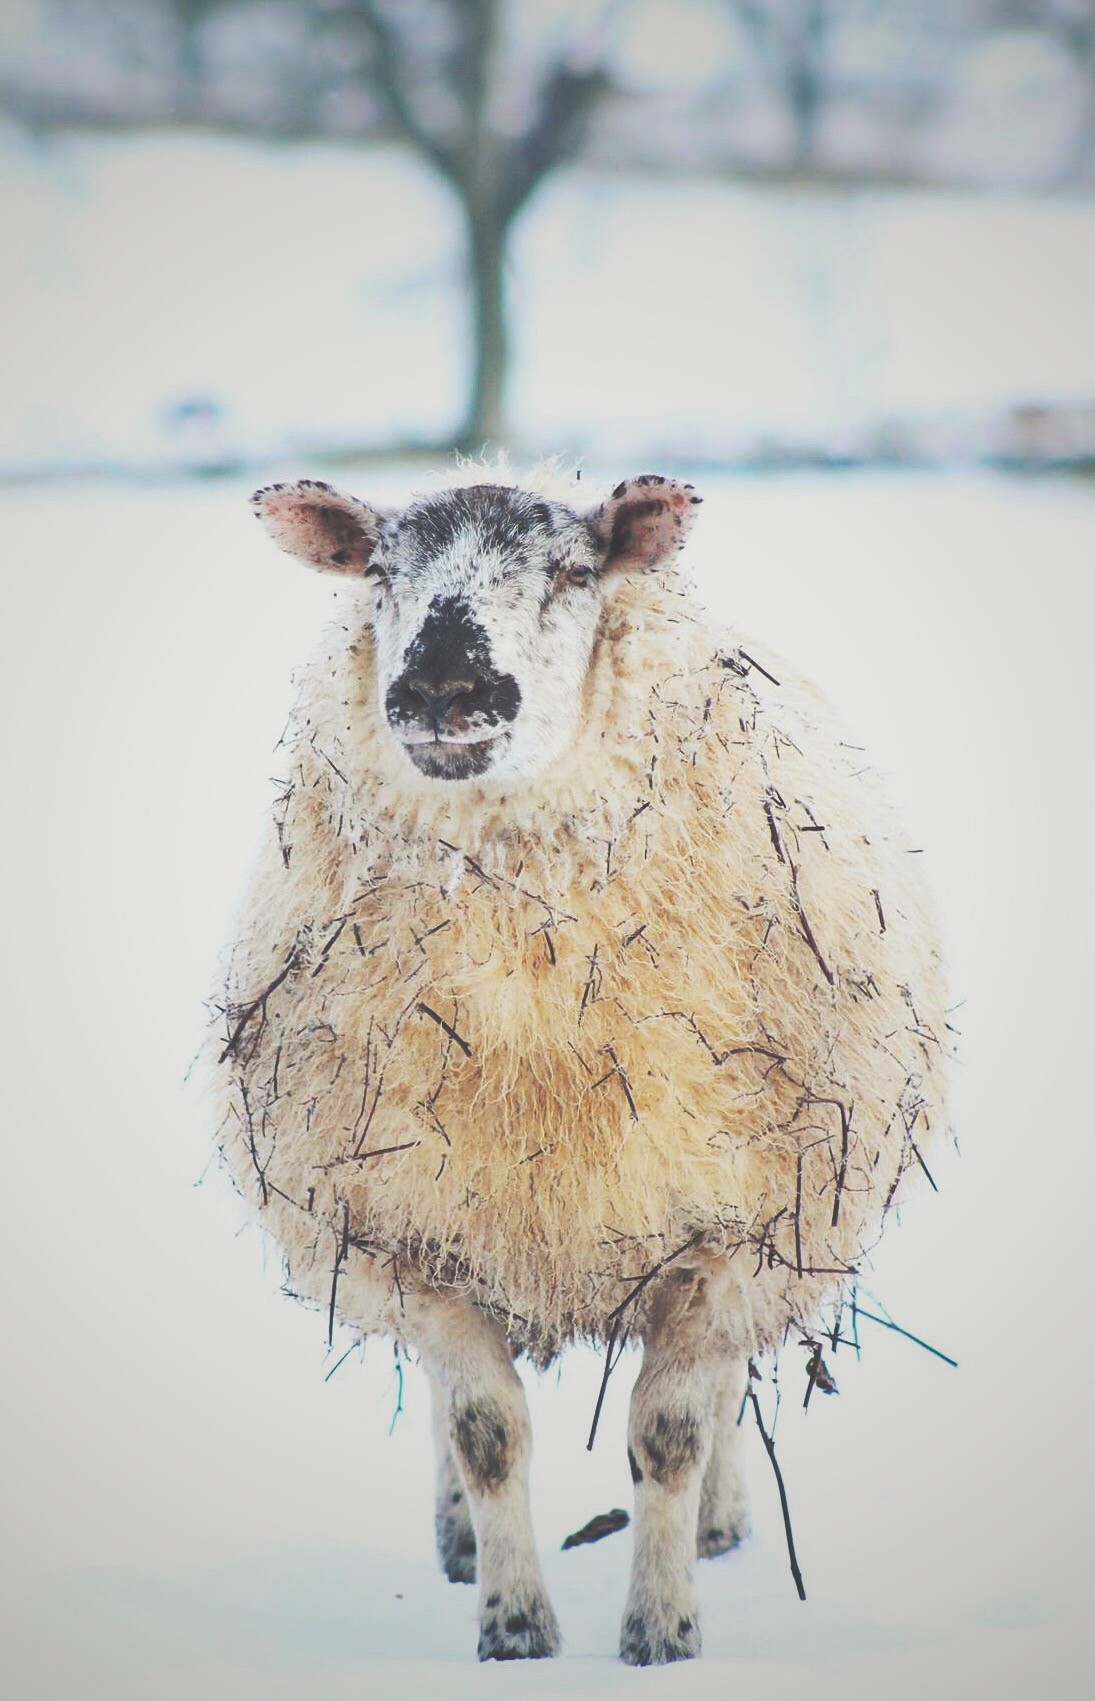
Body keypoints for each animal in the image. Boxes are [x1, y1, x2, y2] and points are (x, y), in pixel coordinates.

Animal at [211, 462, 948, 1666]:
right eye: (381, 571)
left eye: (569, 570)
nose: (445, 688)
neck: (534, 1049)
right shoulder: (408, 1236)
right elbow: (485, 1431)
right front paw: (514, 1626)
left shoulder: (731, 1235)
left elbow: (672, 1432)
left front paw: (661, 1632)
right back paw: (457, 1541)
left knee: (727, 1392)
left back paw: (722, 1525)